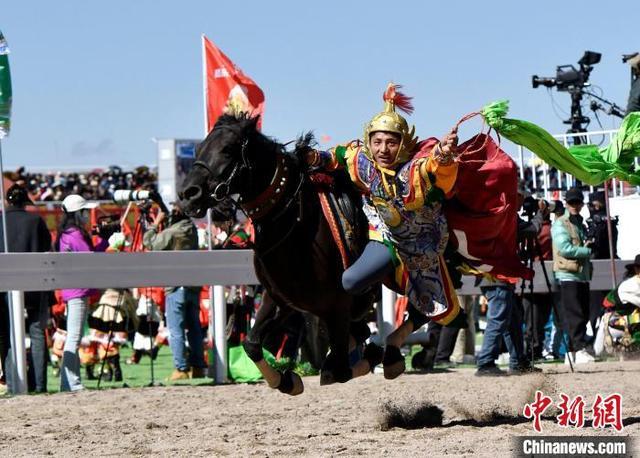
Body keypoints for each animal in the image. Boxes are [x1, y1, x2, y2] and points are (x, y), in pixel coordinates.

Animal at [180, 113, 380, 394]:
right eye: (198, 149)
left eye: (228, 149)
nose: (188, 194)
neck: (297, 226)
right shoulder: (281, 299)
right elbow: (252, 344)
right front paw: (286, 380)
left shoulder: (339, 306)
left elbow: (338, 369)